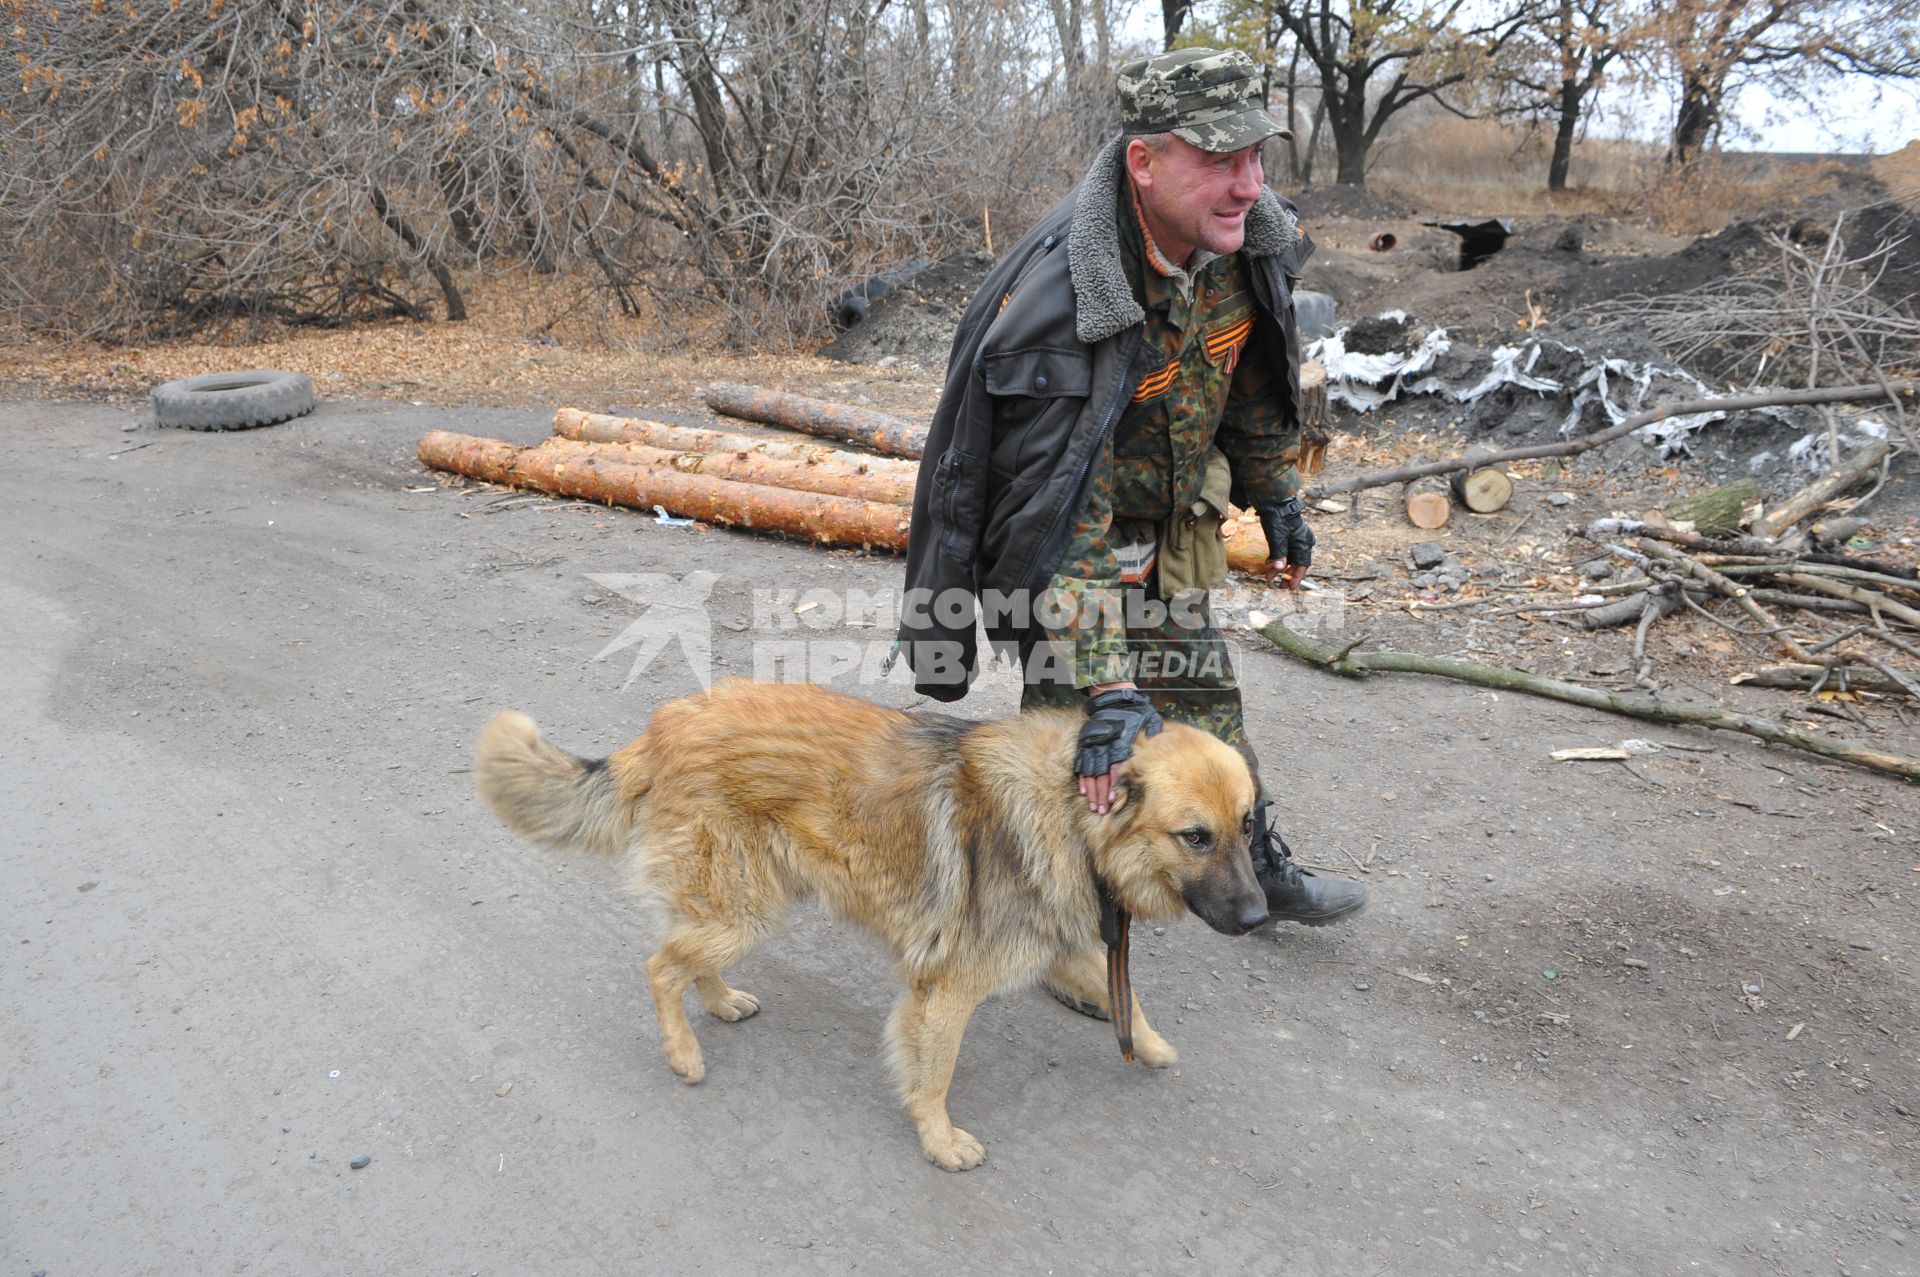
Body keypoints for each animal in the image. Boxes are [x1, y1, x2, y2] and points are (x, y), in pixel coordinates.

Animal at [470, 683, 1267, 1167]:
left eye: (1247, 824)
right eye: (1196, 836)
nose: (1261, 915)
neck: (1072, 811)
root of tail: (664, 726)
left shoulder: (1055, 945)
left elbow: (1124, 994)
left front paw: (1153, 1046)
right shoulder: (948, 990)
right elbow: (935, 1073)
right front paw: (939, 1141)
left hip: (740, 904)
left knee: (686, 957)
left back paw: (721, 1003)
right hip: (746, 908)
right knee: (661, 965)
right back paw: (684, 1052)